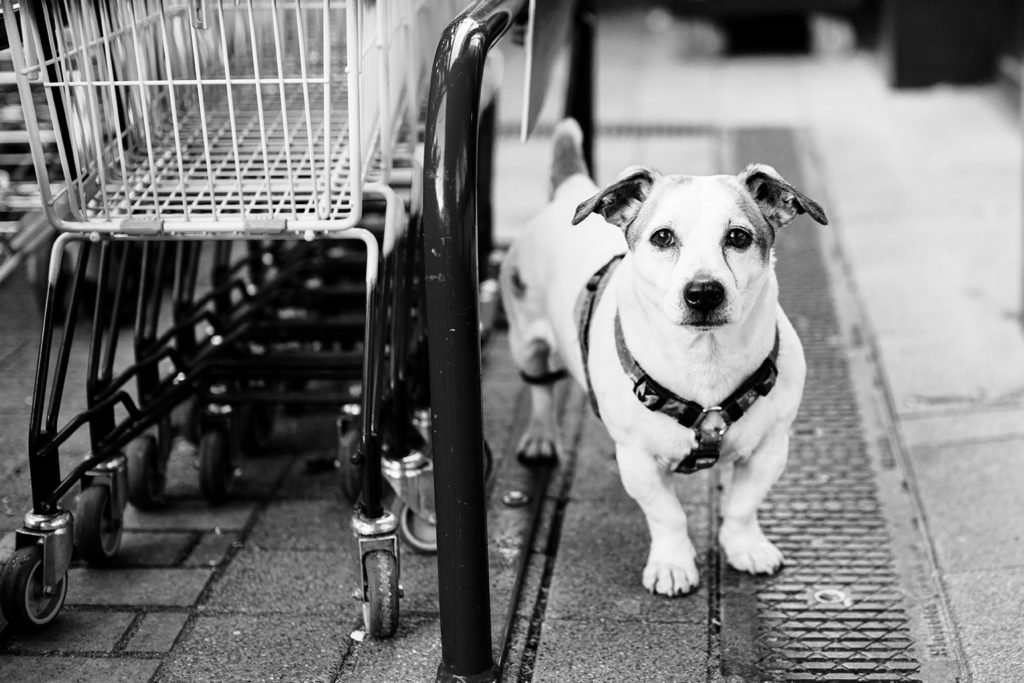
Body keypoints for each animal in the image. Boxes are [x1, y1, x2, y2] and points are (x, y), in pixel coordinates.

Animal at [499, 120, 827, 593]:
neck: (706, 360)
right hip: (525, 341)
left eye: (739, 237)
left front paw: (745, 546)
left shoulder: (770, 449)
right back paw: (542, 436)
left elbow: (743, 505)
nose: (704, 291)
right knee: (541, 388)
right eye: (663, 237)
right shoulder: (638, 460)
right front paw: (673, 563)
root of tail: (569, 187)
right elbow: (667, 515)